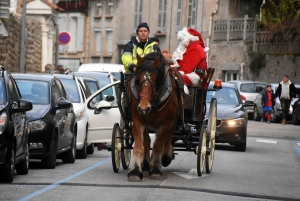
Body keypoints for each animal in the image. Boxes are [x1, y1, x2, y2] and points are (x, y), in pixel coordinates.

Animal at [126, 52, 180, 182]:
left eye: (156, 80)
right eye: (139, 79)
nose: (143, 108)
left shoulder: (165, 124)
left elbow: (158, 146)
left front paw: (155, 169)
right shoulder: (138, 121)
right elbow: (139, 146)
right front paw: (136, 171)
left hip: (172, 122)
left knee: (167, 139)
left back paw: (165, 157)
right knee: (147, 142)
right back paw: (145, 166)